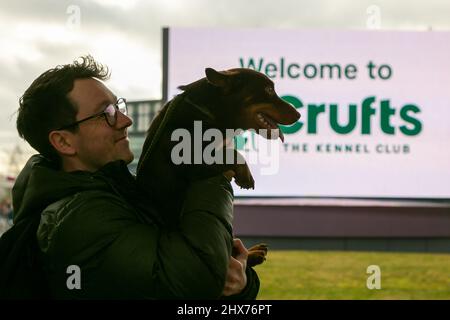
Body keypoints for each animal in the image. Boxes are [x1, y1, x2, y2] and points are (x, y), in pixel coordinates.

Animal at [135, 67, 300, 264]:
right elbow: (232, 154)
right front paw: (245, 174)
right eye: (268, 90)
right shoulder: (194, 165)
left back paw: (252, 253)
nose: (299, 115)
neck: (208, 113)